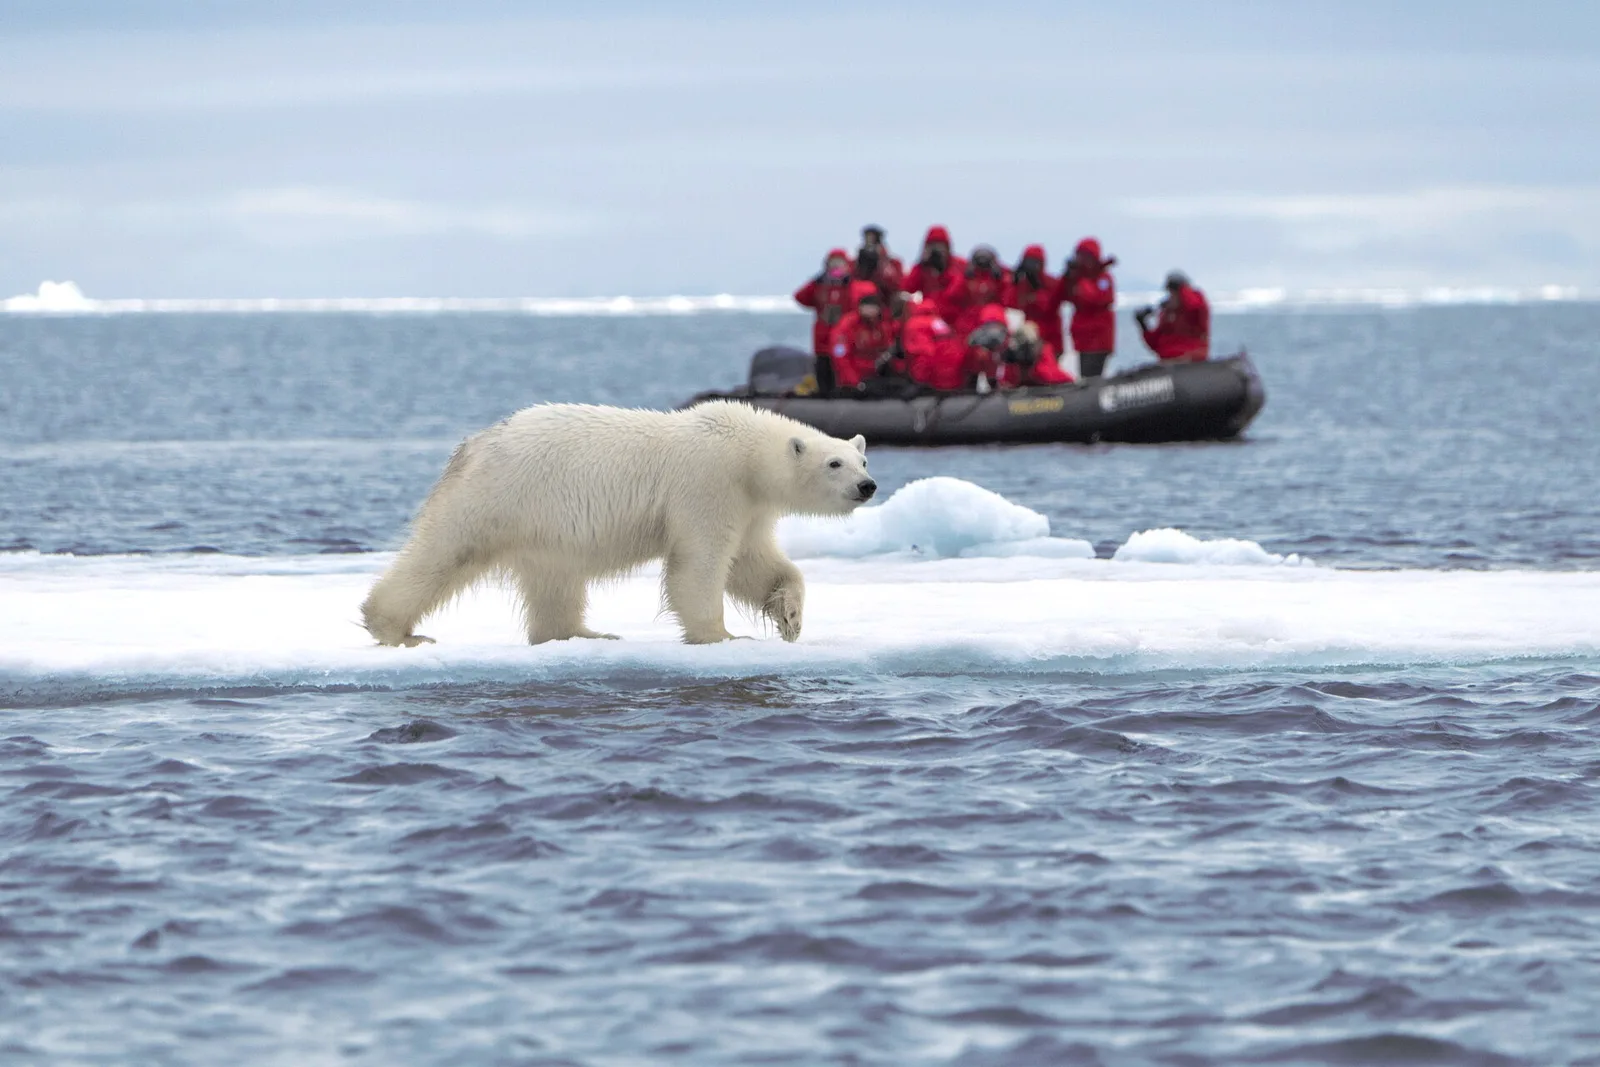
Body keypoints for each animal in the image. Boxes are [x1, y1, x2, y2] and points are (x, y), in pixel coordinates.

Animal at [360, 400, 876, 646]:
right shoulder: (708, 485)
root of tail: (473, 445)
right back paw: (395, 629)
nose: (868, 486)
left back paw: (584, 633)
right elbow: (701, 563)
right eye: (834, 463)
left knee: (555, 582)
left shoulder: (750, 506)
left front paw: (790, 616)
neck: (747, 453)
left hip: (543, 528)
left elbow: (754, 563)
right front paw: (723, 635)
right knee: (444, 552)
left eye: (862, 458)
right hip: (499, 497)